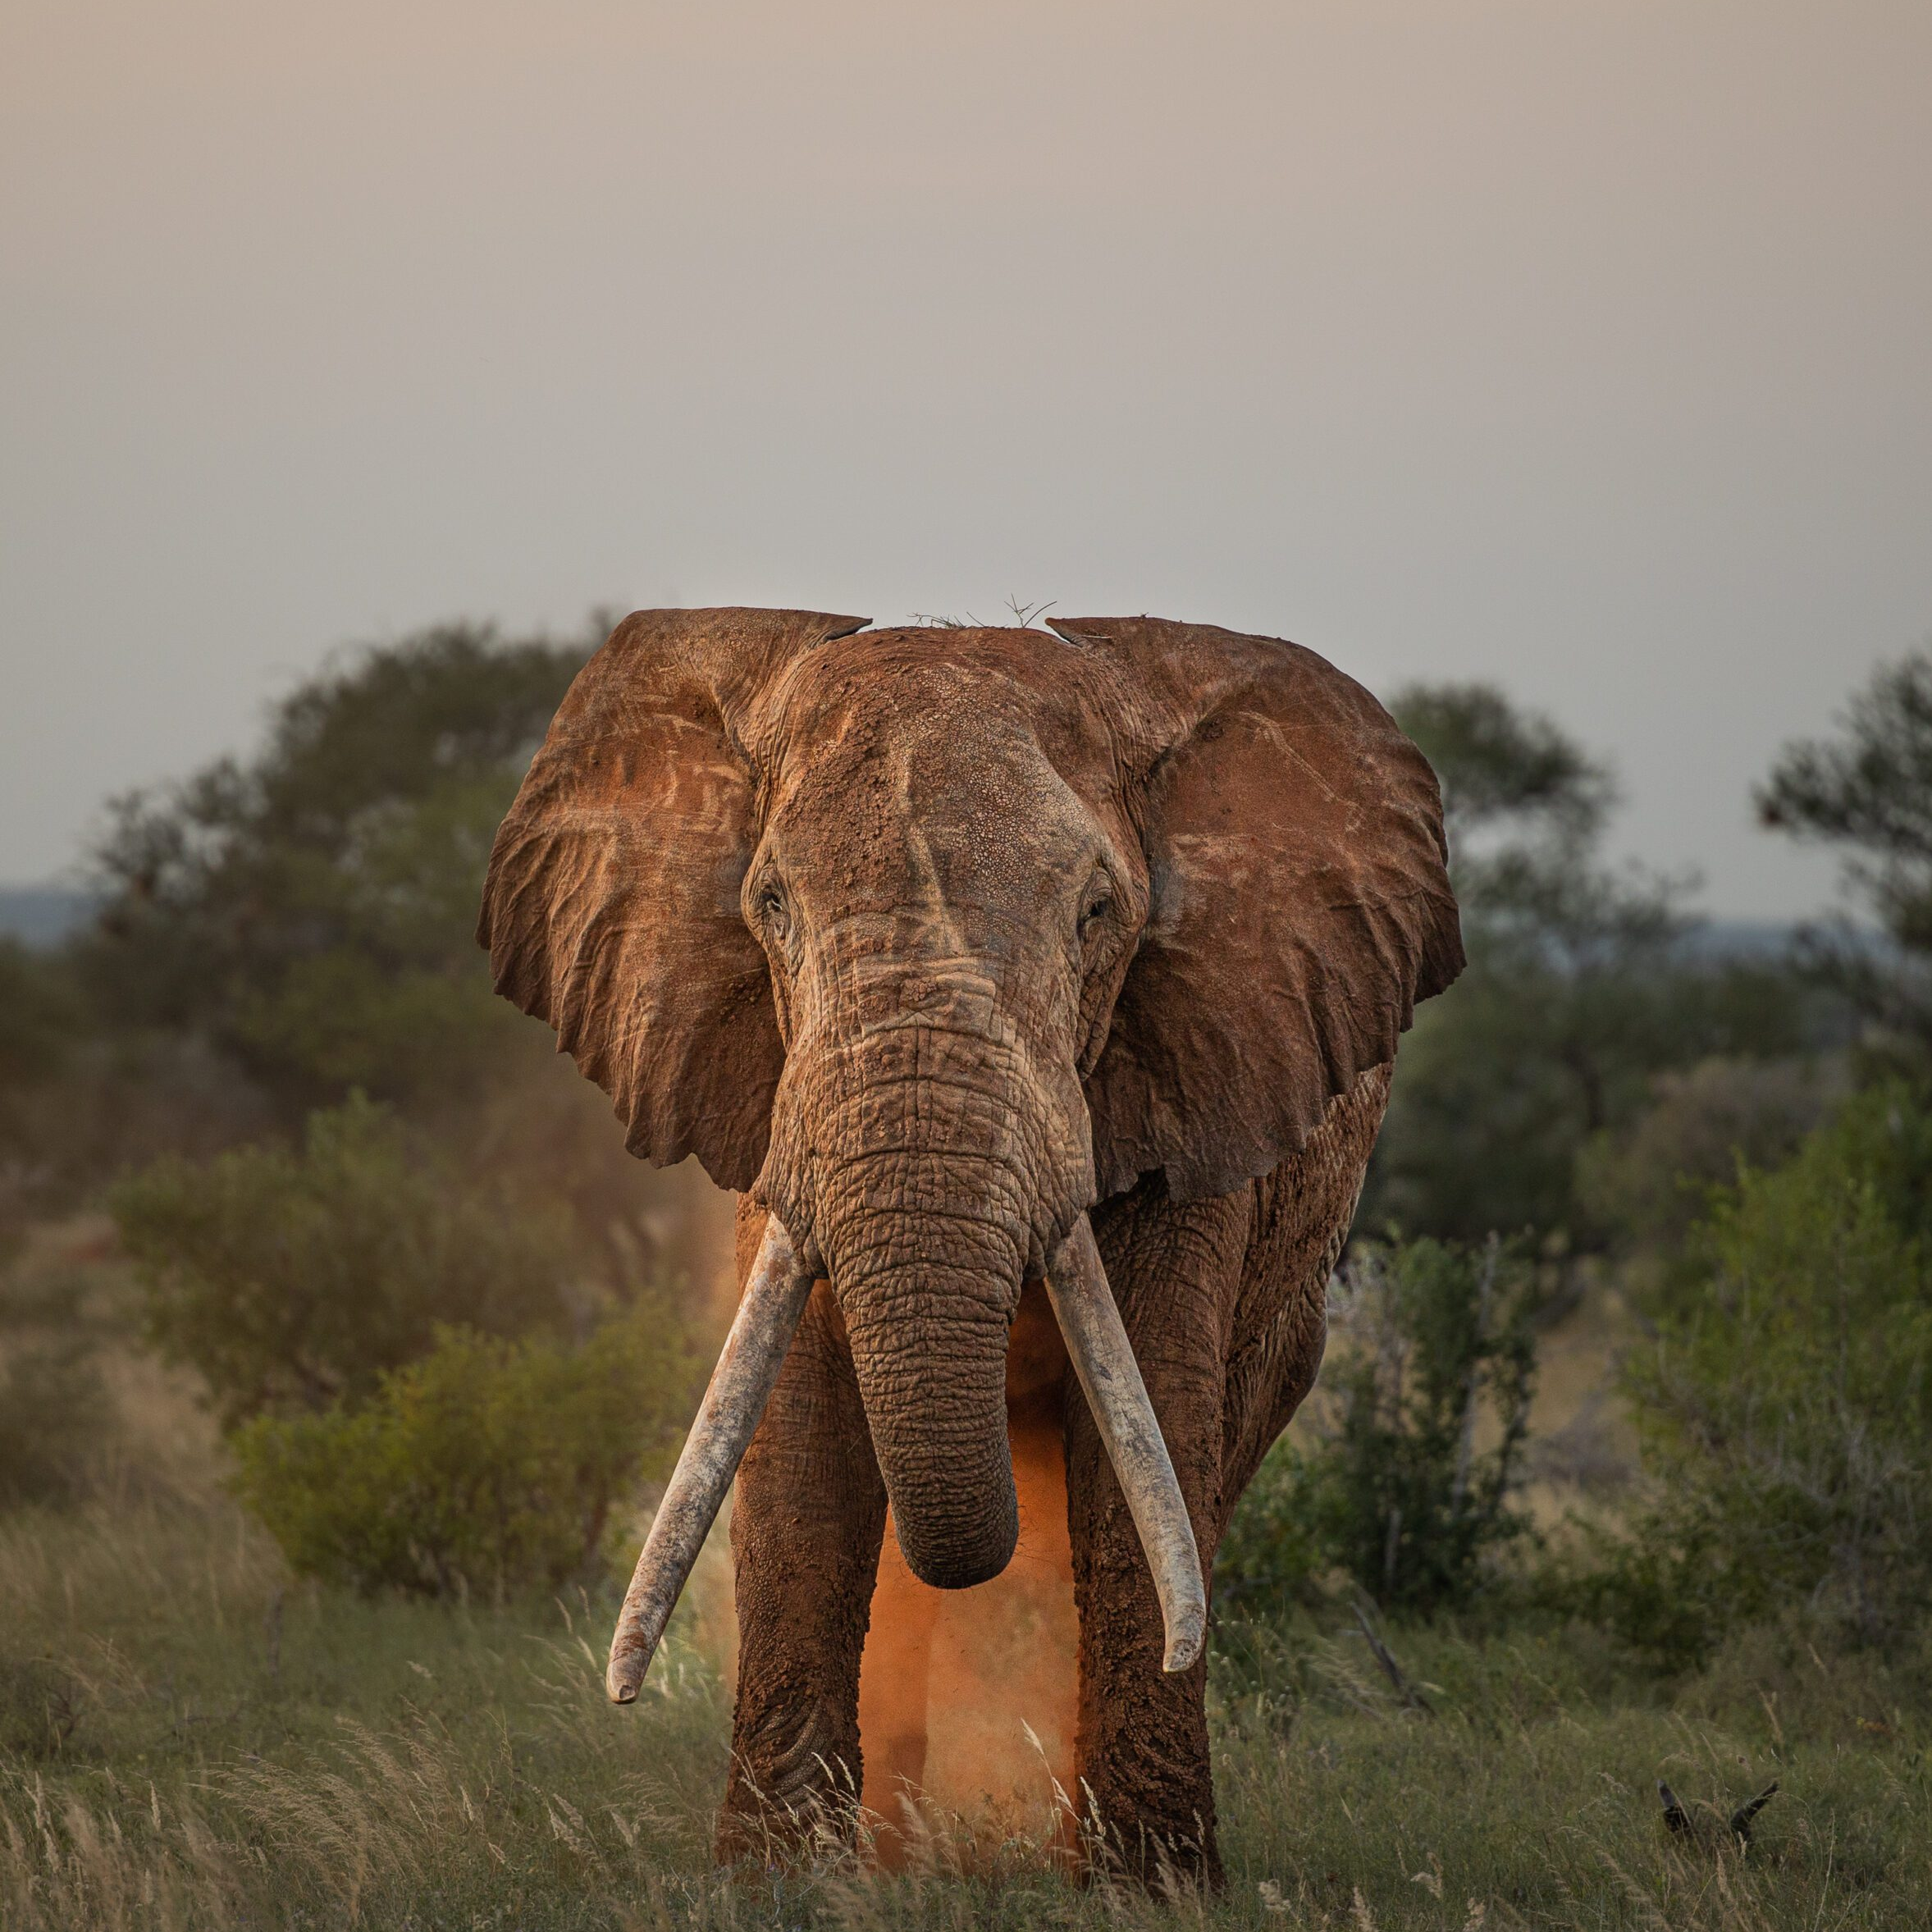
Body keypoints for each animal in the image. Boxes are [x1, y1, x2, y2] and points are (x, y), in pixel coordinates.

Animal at [477, 607, 1461, 1884]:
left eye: (1098, 915)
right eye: (770, 905)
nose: (622, 1697)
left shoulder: (1196, 1077)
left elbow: (1141, 1449)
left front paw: (1149, 1885)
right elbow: (802, 1439)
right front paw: (779, 1881)